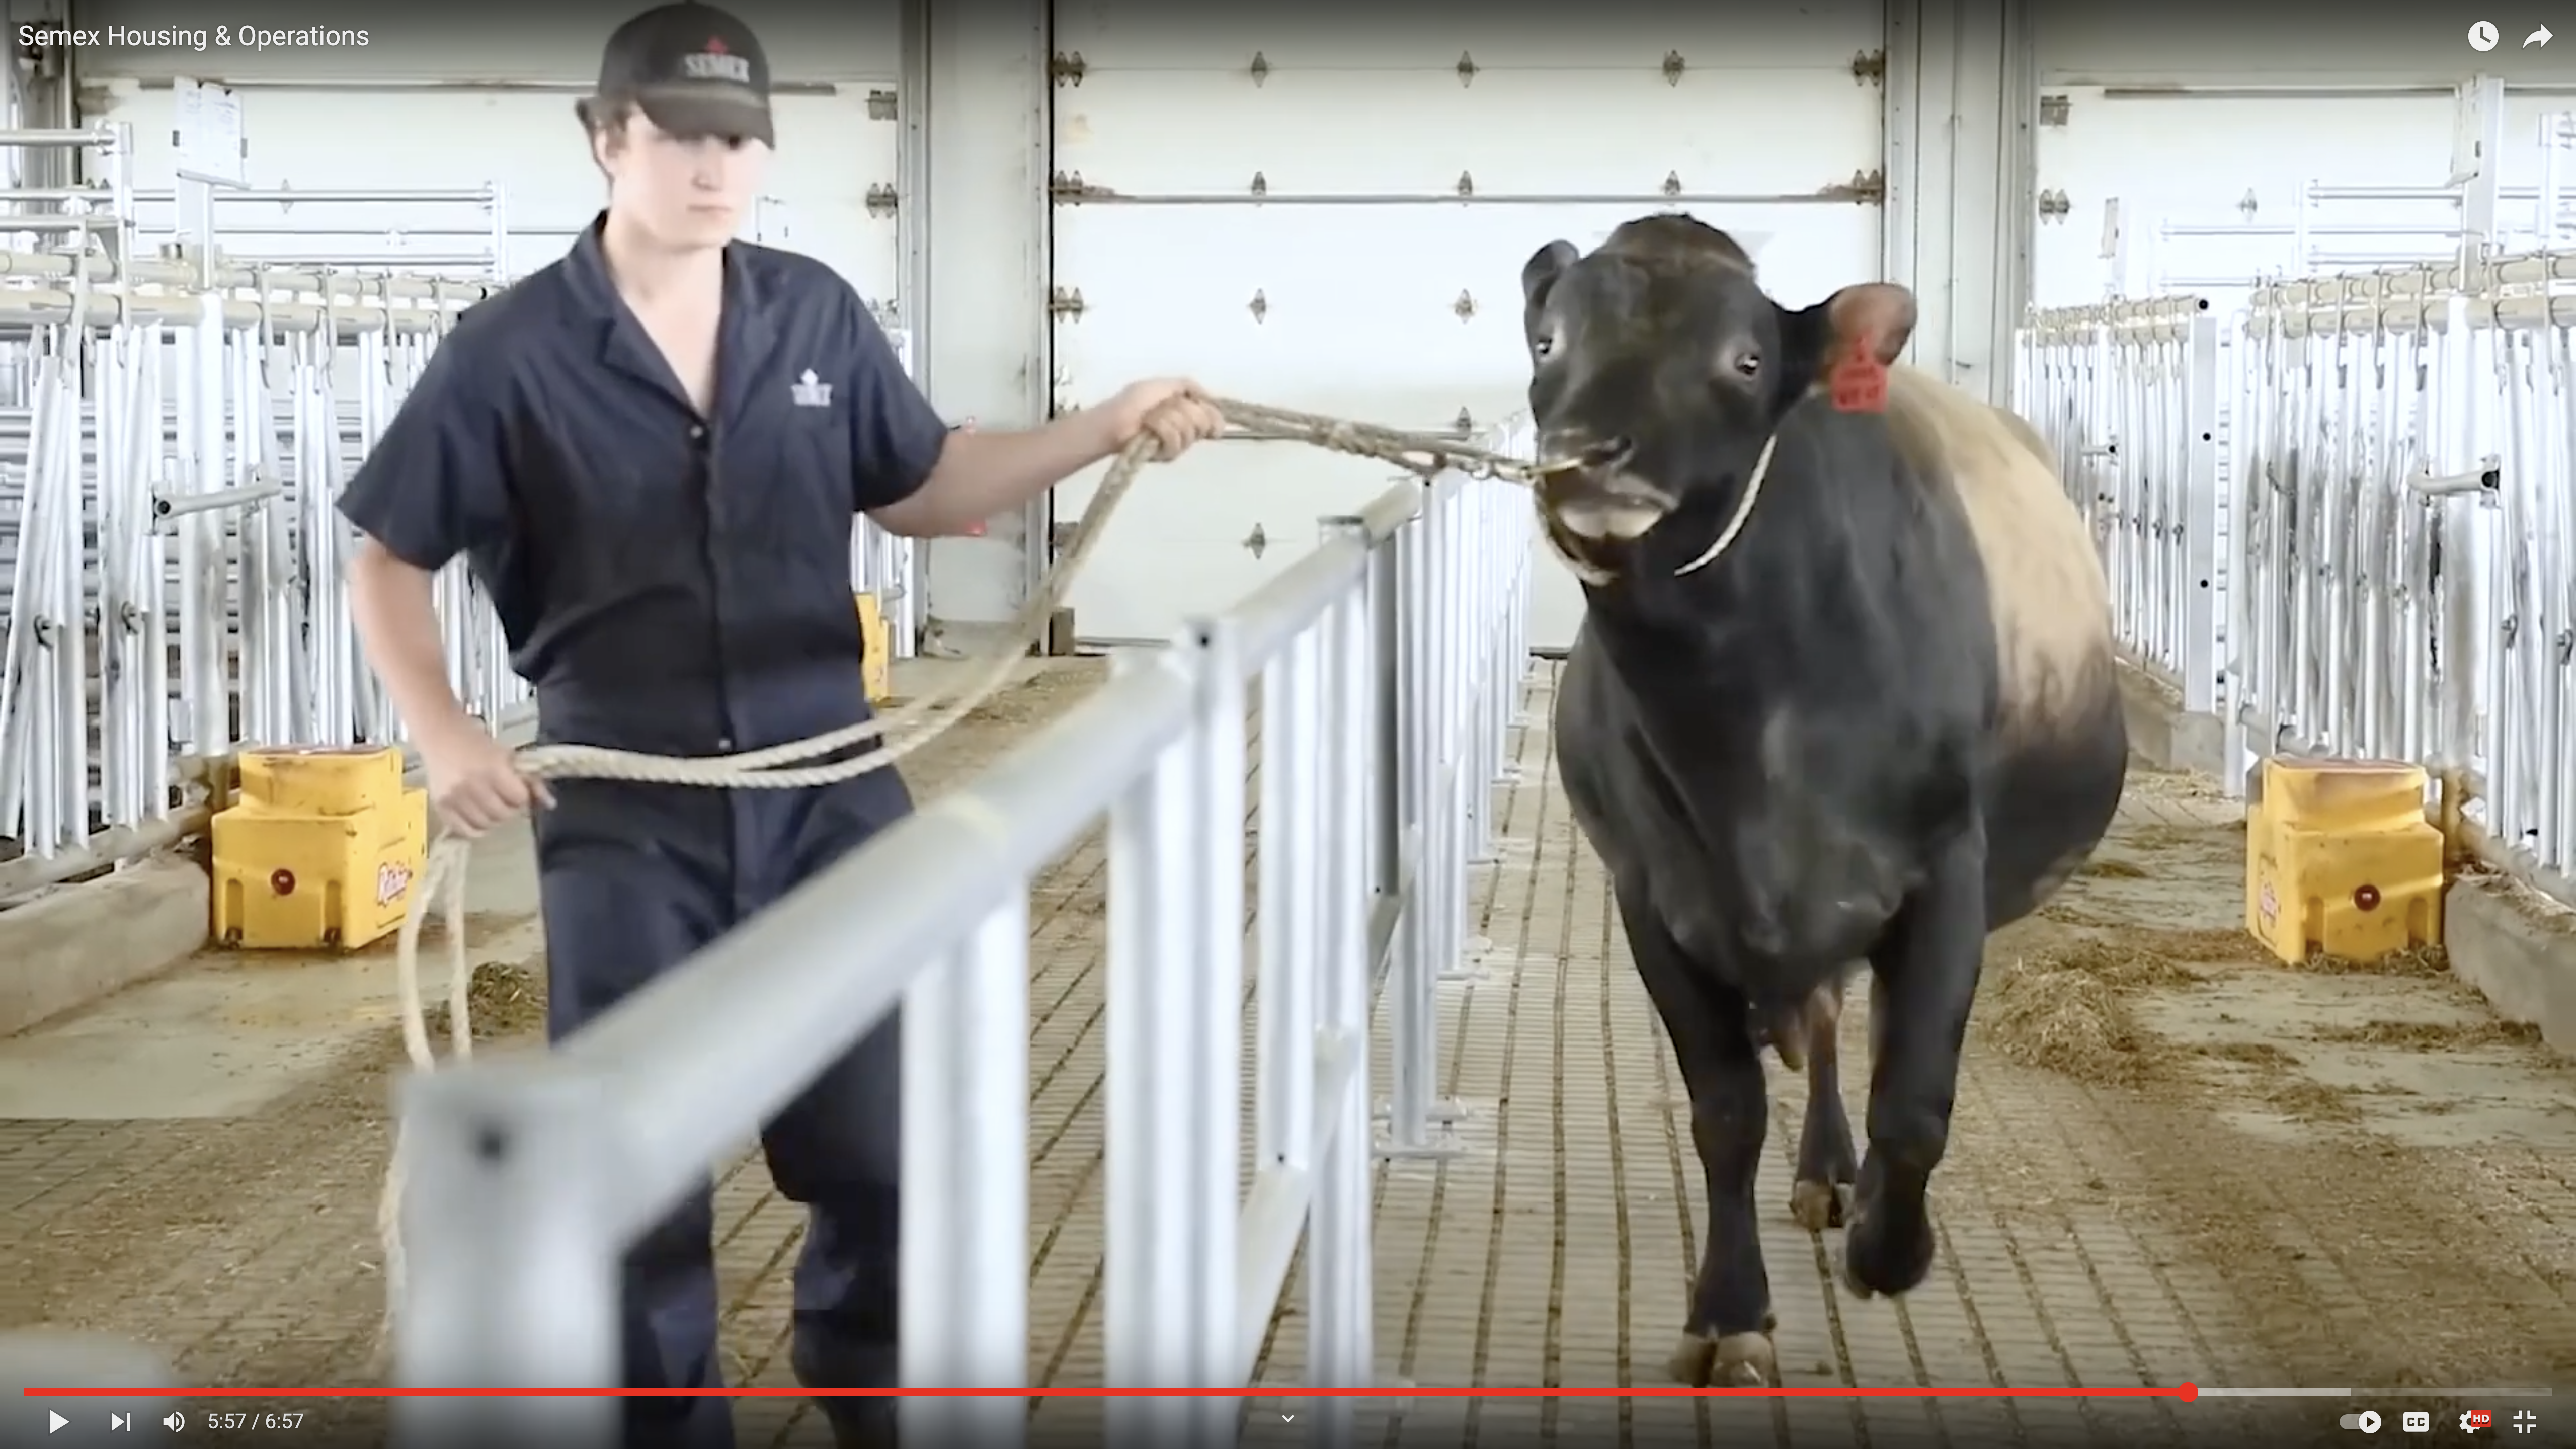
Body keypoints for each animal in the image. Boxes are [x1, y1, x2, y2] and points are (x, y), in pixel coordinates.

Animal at [1518, 214, 2126, 1389]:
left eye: (1746, 360)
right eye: (1549, 341)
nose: (1588, 455)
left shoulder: (1944, 875)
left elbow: (1917, 1104)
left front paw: (1892, 1253)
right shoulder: (1653, 899)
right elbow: (1725, 1113)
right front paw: (1729, 1313)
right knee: (1831, 1025)